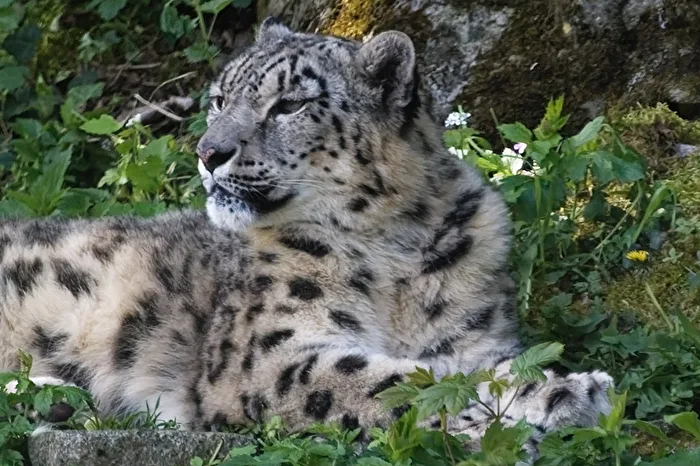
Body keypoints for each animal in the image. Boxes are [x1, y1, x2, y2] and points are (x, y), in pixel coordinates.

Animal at [0, 17, 612, 457]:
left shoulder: (474, 338)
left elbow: (473, 368)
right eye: (220, 99)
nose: (208, 152)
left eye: (289, 104)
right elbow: (396, 379)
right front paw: (553, 402)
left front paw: (556, 394)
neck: (396, 254)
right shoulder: (268, 357)